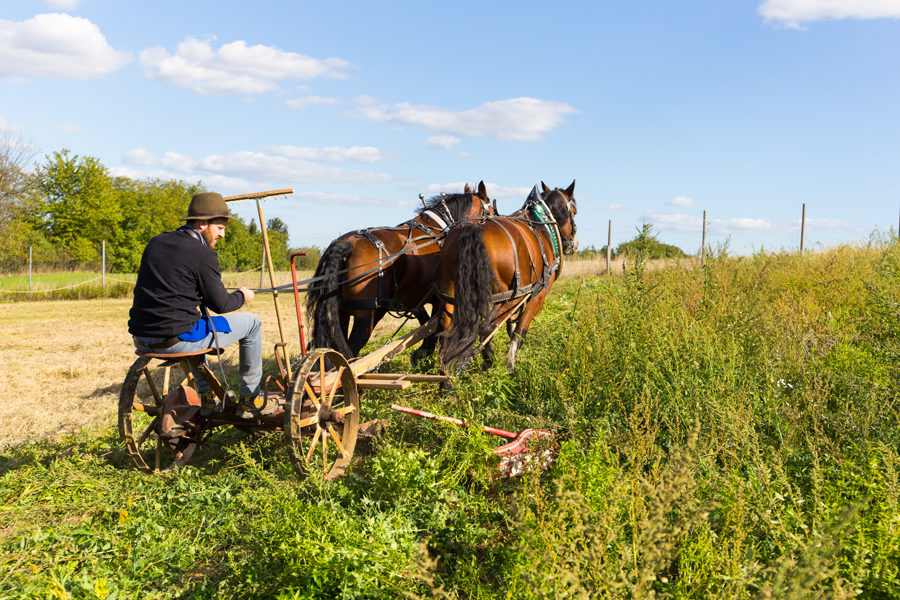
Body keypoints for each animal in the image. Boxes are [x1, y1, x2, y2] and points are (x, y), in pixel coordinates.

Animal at [308, 182, 492, 360]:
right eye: (490, 211)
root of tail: (347, 245)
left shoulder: (413, 298)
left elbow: (424, 320)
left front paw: (422, 352)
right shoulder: (438, 296)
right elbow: (435, 326)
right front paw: (427, 351)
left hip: (341, 313)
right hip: (367, 315)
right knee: (351, 353)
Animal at [440, 180, 580, 372]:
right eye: (574, 211)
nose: (574, 244)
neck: (541, 225)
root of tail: (473, 228)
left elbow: (510, 326)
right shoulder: (537, 296)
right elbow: (519, 333)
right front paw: (510, 365)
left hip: (451, 296)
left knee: (447, 332)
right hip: (506, 298)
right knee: (486, 328)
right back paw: (488, 364)